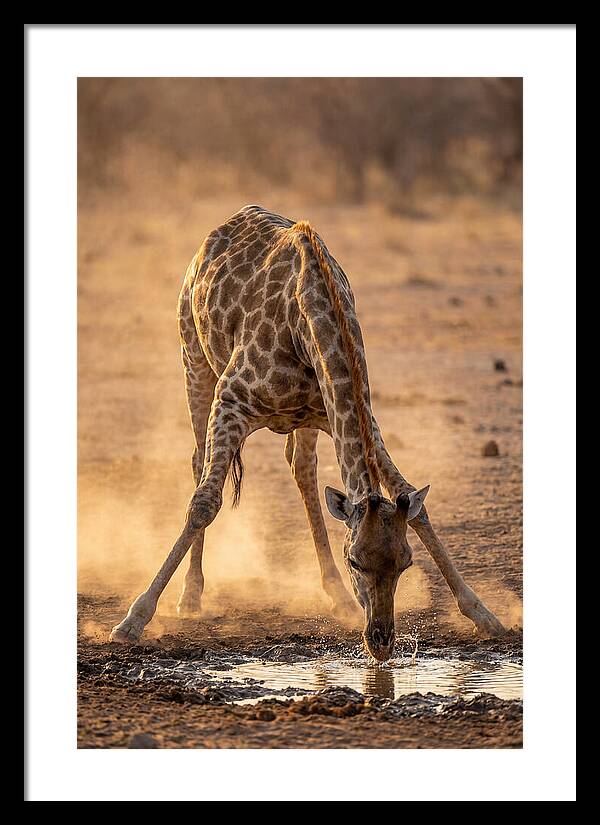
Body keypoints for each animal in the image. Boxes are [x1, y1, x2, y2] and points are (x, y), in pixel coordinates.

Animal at [110, 205, 506, 659]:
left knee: (302, 470)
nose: (381, 642)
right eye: (356, 560)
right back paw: (191, 596)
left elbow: (414, 505)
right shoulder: (231, 400)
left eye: (405, 562)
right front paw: (134, 619)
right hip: (193, 359)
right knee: (198, 464)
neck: (310, 319)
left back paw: (337, 596)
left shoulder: (351, 414)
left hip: (304, 420)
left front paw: (483, 614)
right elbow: (204, 503)